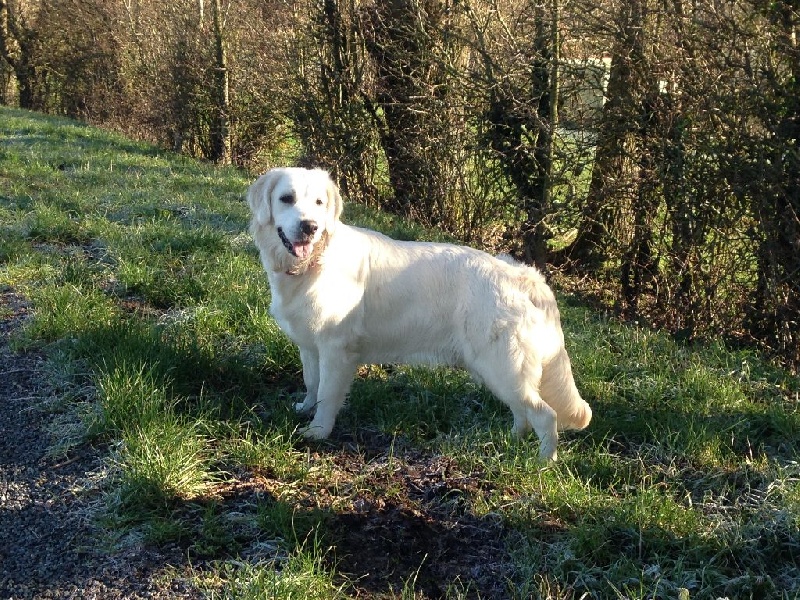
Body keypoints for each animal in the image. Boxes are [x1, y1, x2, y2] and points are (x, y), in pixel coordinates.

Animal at [247, 168, 592, 460]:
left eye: (319, 203)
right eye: (286, 198)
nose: (310, 227)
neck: (313, 262)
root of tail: (523, 274)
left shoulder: (337, 349)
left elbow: (328, 394)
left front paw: (318, 431)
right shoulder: (310, 345)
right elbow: (311, 382)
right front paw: (305, 408)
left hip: (504, 367)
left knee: (545, 415)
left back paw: (542, 464)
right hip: (496, 370)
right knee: (522, 412)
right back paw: (511, 442)